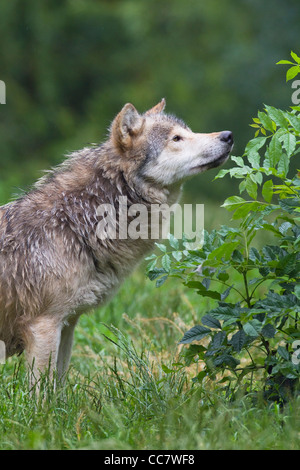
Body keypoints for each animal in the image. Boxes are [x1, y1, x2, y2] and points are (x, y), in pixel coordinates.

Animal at [0, 99, 233, 386]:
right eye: (177, 138)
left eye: (188, 131)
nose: (228, 135)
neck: (77, 223)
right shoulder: (43, 325)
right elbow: (42, 392)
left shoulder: (68, 324)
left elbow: (60, 387)